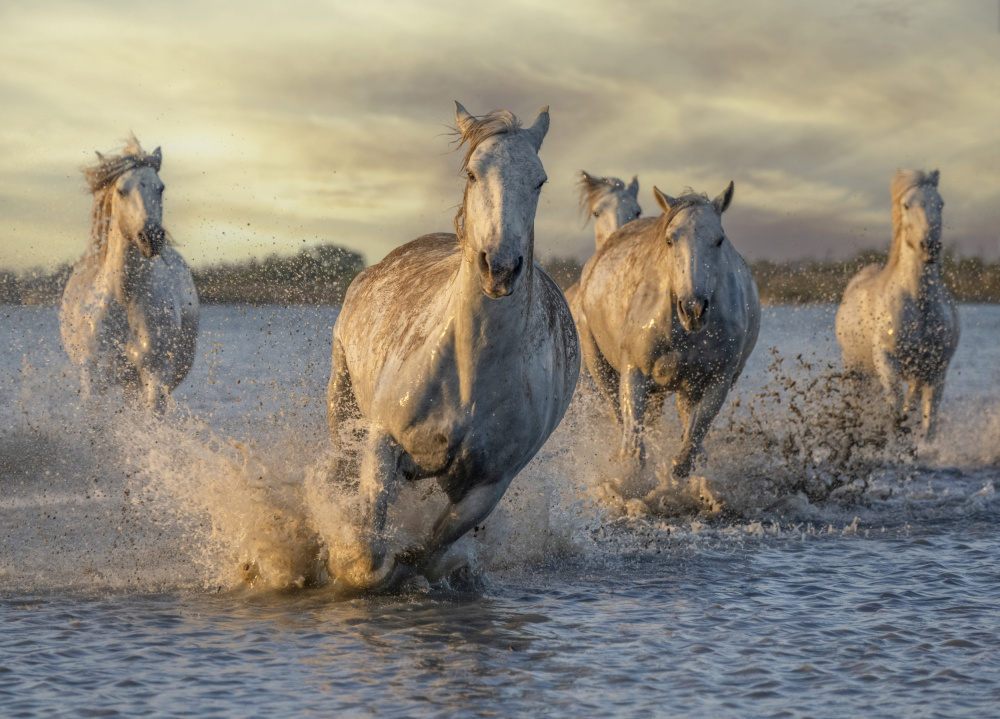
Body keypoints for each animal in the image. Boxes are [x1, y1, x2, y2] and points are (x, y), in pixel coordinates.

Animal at [60, 137, 199, 414]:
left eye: (161, 188)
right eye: (122, 190)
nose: (152, 237)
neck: (124, 299)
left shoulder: (155, 375)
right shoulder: (94, 377)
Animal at [328, 102, 580, 592]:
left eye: (539, 180)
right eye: (472, 173)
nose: (499, 267)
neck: (470, 370)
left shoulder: (489, 485)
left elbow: (429, 551)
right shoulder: (382, 441)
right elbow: (367, 553)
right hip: (341, 400)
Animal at [576, 183, 760, 480]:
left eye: (719, 240)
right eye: (670, 240)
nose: (693, 309)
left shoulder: (718, 380)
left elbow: (688, 449)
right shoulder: (634, 372)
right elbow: (633, 450)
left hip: (683, 388)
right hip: (600, 366)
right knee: (618, 417)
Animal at [832, 169, 956, 438]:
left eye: (940, 203)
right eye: (907, 204)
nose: (930, 246)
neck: (919, 305)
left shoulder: (935, 371)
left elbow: (927, 424)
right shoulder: (887, 362)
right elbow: (895, 415)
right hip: (855, 369)